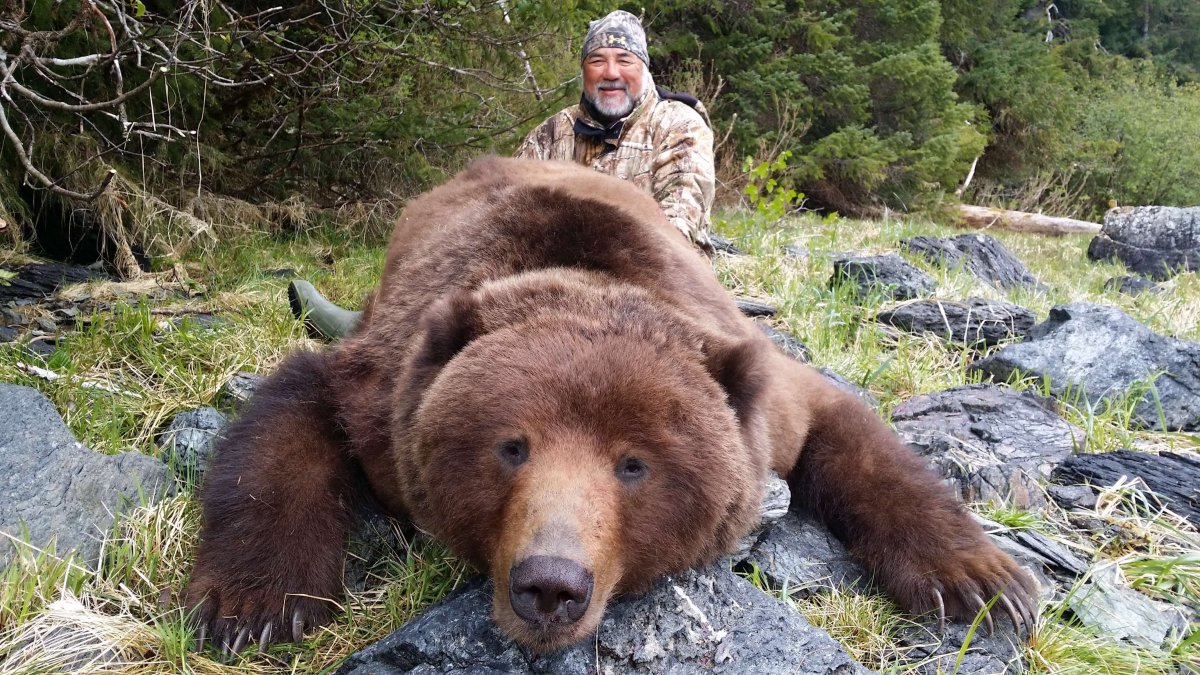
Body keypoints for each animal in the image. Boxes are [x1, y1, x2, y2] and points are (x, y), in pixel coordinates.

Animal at [184, 157, 1036, 655]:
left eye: (634, 464)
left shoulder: (759, 391)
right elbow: (290, 418)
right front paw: (254, 603)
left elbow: (853, 431)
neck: (586, 276)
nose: (551, 584)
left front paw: (985, 582)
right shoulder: (381, 386)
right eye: (511, 446)